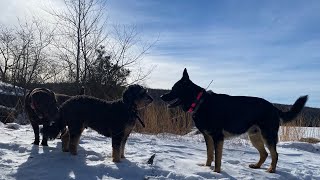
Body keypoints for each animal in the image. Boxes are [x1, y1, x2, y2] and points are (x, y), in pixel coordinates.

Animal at [161, 68, 306, 172]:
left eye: (174, 89)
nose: (162, 96)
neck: (199, 102)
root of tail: (274, 107)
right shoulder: (208, 137)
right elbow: (209, 154)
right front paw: (206, 168)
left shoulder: (218, 137)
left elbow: (217, 158)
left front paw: (216, 172)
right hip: (254, 137)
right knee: (264, 153)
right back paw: (257, 166)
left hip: (267, 136)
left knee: (275, 154)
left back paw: (271, 170)